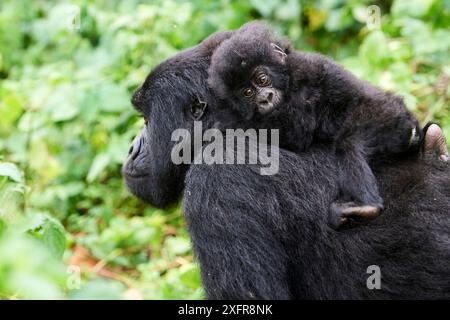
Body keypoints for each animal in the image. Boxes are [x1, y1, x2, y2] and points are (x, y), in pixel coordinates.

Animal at [207, 22, 422, 228]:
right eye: (248, 93)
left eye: (262, 79)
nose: (264, 98)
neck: (287, 74)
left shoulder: (304, 75)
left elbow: (297, 132)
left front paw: (229, 122)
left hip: (389, 117)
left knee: (349, 145)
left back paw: (367, 206)